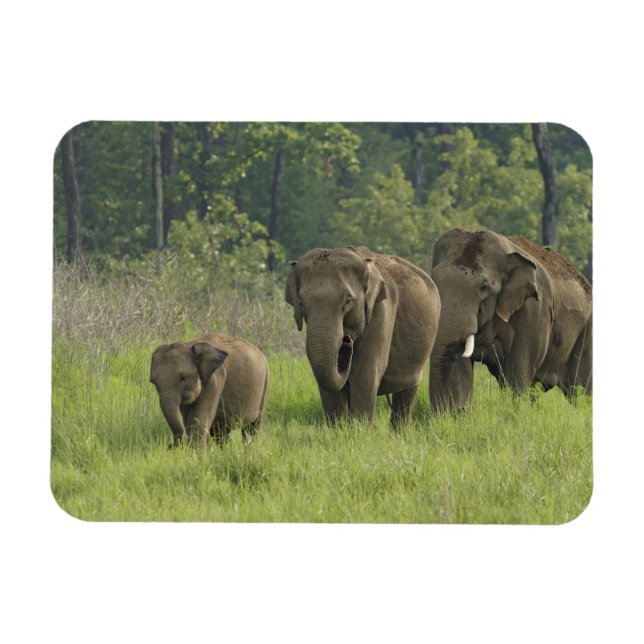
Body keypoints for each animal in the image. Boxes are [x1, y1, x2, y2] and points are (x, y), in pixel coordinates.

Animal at [285, 246, 441, 427]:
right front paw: (339, 429)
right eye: (301, 302)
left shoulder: (382, 311)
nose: (346, 341)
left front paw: (361, 429)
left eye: (348, 301)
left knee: (407, 393)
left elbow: (365, 372)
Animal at [429, 227, 592, 411]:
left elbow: (518, 372)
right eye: (432, 279)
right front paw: (452, 413)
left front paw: (517, 412)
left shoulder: (533, 310)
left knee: (581, 390)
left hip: (587, 331)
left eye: (484, 287)